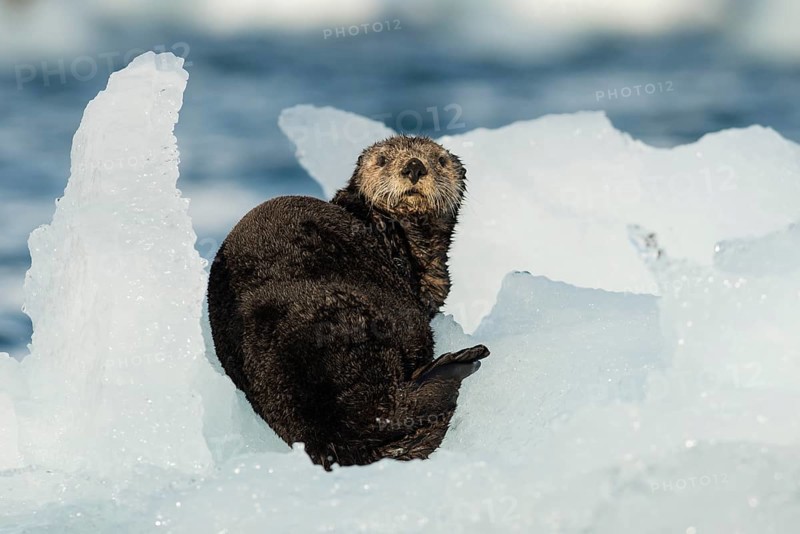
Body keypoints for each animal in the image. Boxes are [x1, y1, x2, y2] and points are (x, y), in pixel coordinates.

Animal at [207, 135, 489, 469]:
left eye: (440, 161)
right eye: (382, 160)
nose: (414, 166)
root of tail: (327, 434)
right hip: (366, 327)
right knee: (390, 408)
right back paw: (461, 362)